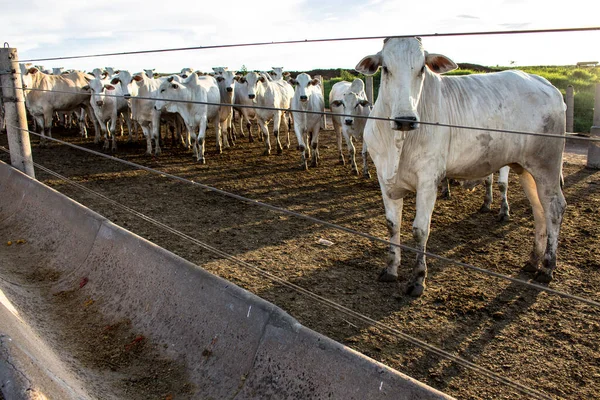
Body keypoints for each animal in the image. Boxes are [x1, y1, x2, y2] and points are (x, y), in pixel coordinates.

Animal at [356, 36, 568, 296]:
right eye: (386, 68)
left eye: (421, 68)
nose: (405, 120)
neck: (397, 143)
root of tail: (545, 83)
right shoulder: (384, 178)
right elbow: (392, 225)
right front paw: (391, 269)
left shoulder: (428, 180)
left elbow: (420, 230)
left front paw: (417, 279)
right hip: (525, 168)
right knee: (539, 209)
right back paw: (533, 260)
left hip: (547, 164)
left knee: (555, 208)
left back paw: (547, 267)